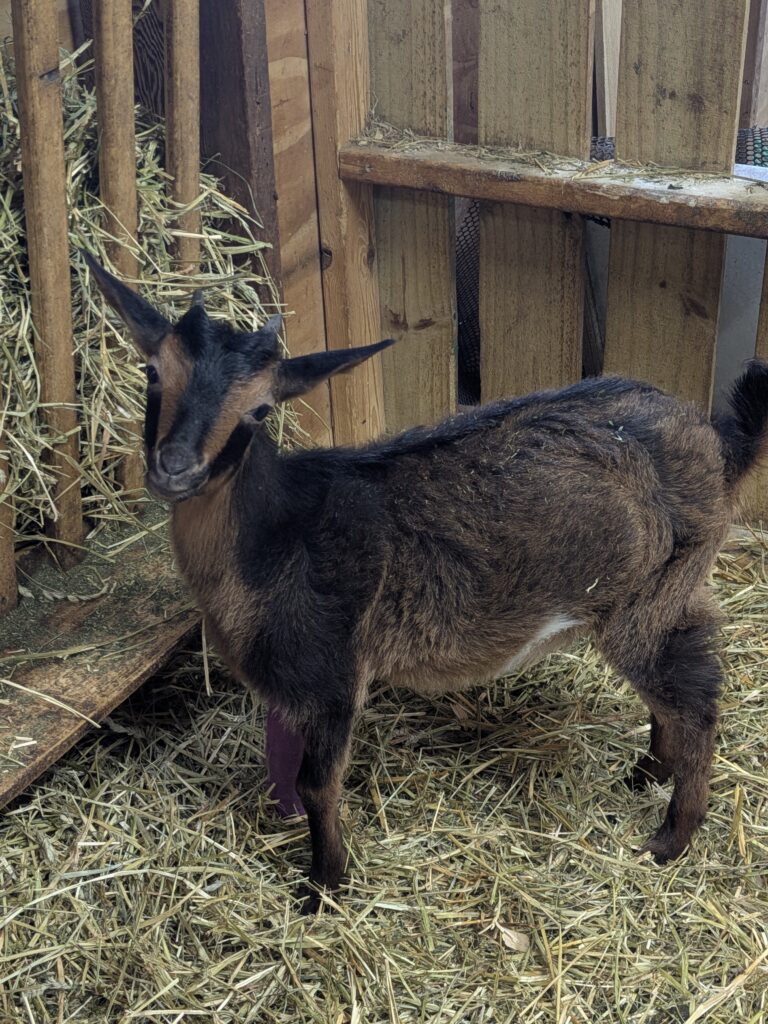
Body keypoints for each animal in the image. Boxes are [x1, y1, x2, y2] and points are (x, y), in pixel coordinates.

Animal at [84, 252, 768, 912]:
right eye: (152, 373)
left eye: (258, 409)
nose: (176, 468)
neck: (276, 536)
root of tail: (717, 442)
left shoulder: (334, 674)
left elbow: (317, 783)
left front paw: (324, 885)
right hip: (673, 593)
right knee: (677, 688)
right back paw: (647, 773)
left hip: (648, 598)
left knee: (695, 701)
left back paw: (670, 837)